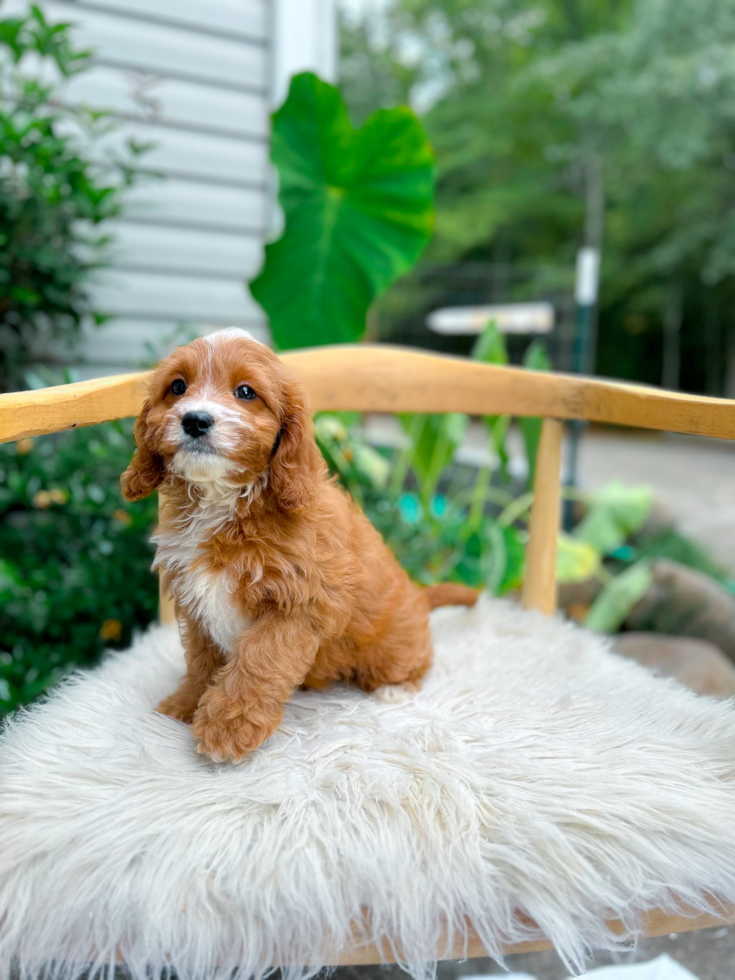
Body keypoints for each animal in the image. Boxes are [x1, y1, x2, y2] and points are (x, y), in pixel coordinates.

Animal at [121, 334, 478, 760]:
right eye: (177, 387)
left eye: (246, 392)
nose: (194, 419)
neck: (224, 500)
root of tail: (422, 597)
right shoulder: (197, 603)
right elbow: (201, 661)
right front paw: (183, 705)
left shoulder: (298, 603)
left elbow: (258, 661)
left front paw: (227, 728)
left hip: (391, 649)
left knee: (417, 663)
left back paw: (394, 689)